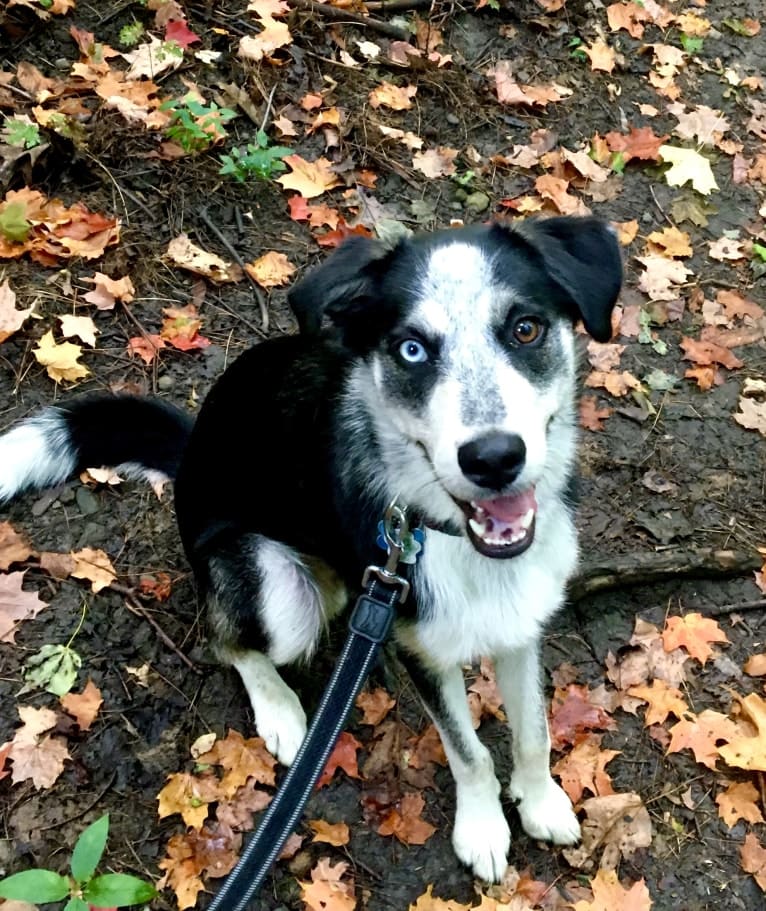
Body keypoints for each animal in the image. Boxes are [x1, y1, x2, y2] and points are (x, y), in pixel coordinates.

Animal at [0, 216, 624, 884]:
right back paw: (279, 710)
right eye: (411, 349)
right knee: (228, 641)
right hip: (276, 587)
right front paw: (482, 828)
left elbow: (533, 729)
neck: (442, 529)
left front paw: (539, 801)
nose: (493, 459)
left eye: (525, 328)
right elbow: (469, 750)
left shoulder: (519, 623)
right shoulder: (424, 650)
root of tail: (192, 452)